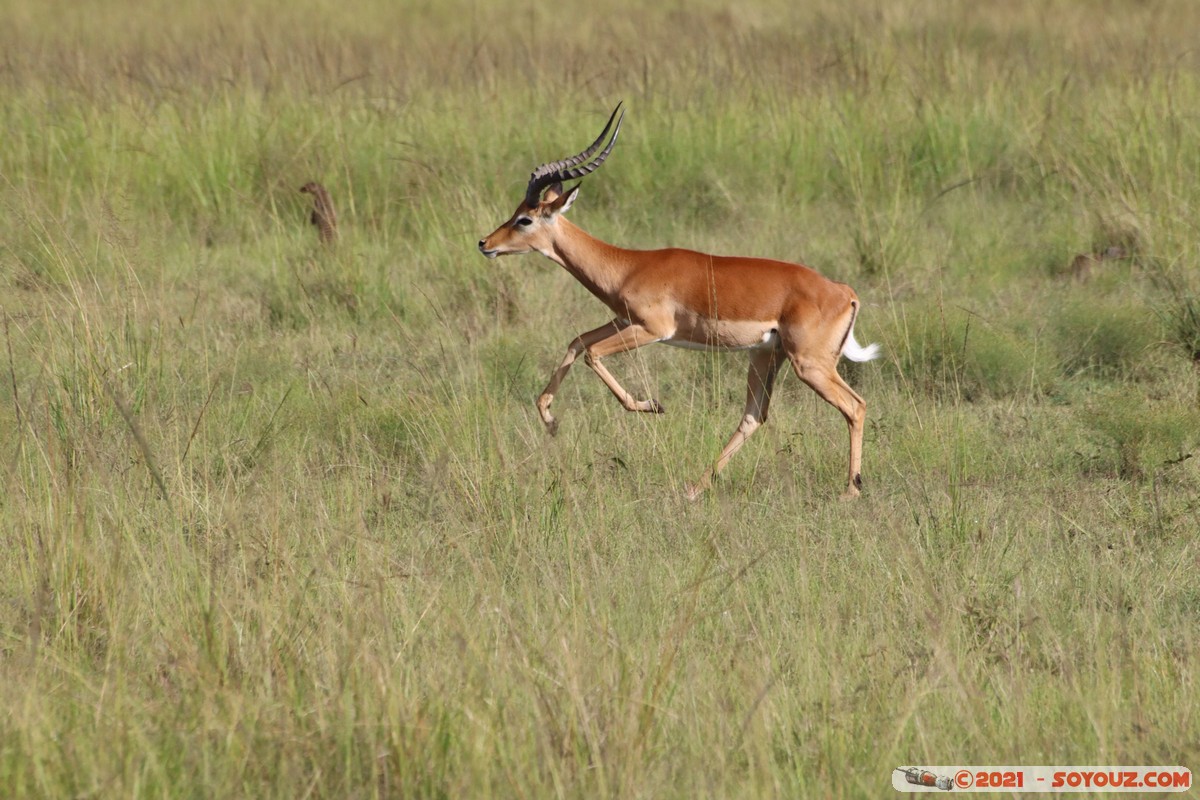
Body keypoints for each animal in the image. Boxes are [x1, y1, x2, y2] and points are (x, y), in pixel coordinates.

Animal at [478, 104, 881, 500]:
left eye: (525, 219)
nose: (484, 243)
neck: (628, 266)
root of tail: (844, 292)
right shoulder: (623, 320)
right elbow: (577, 342)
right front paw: (549, 419)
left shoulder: (652, 329)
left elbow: (592, 354)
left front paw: (652, 405)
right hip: (766, 355)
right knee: (754, 416)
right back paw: (694, 488)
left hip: (808, 364)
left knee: (856, 406)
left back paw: (851, 489)